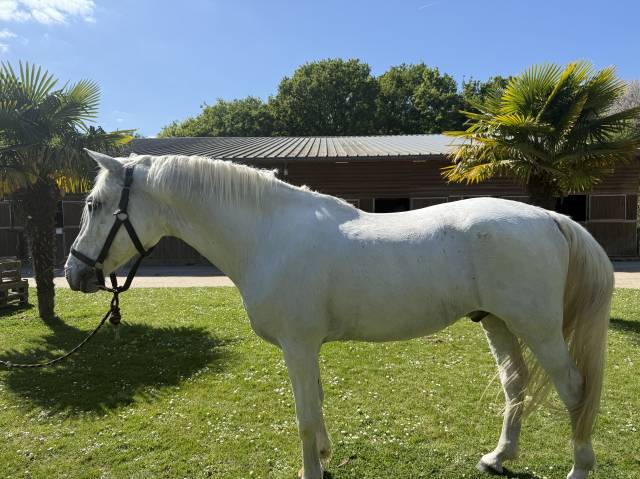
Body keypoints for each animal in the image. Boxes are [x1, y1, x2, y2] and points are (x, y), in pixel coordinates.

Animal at [65, 150, 614, 479]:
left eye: (94, 204)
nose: (75, 274)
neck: (268, 235)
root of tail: (550, 216)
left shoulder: (298, 346)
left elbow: (306, 415)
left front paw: (311, 468)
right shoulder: (306, 348)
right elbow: (318, 405)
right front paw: (325, 456)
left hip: (539, 329)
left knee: (574, 390)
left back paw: (578, 468)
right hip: (498, 322)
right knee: (516, 384)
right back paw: (498, 457)